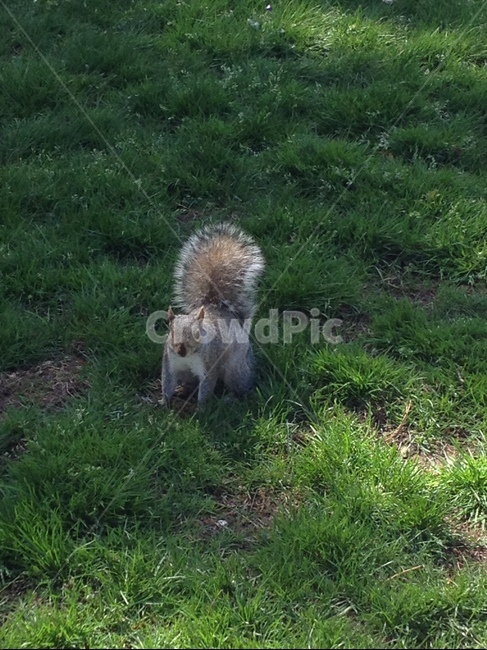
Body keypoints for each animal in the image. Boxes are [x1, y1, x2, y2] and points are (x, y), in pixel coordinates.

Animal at [162, 223, 265, 408]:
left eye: (198, 333)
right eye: (170, 332)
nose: (181, 350)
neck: (189, 356)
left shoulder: (209, 365)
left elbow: (207, 386)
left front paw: (200, 408)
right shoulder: (170, 362)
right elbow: (167, 382)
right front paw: (164, 403)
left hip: (235, 369)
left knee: (240, 385)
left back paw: (233, 397)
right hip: (187, 374)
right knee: (190, 383)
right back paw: (183, 390)